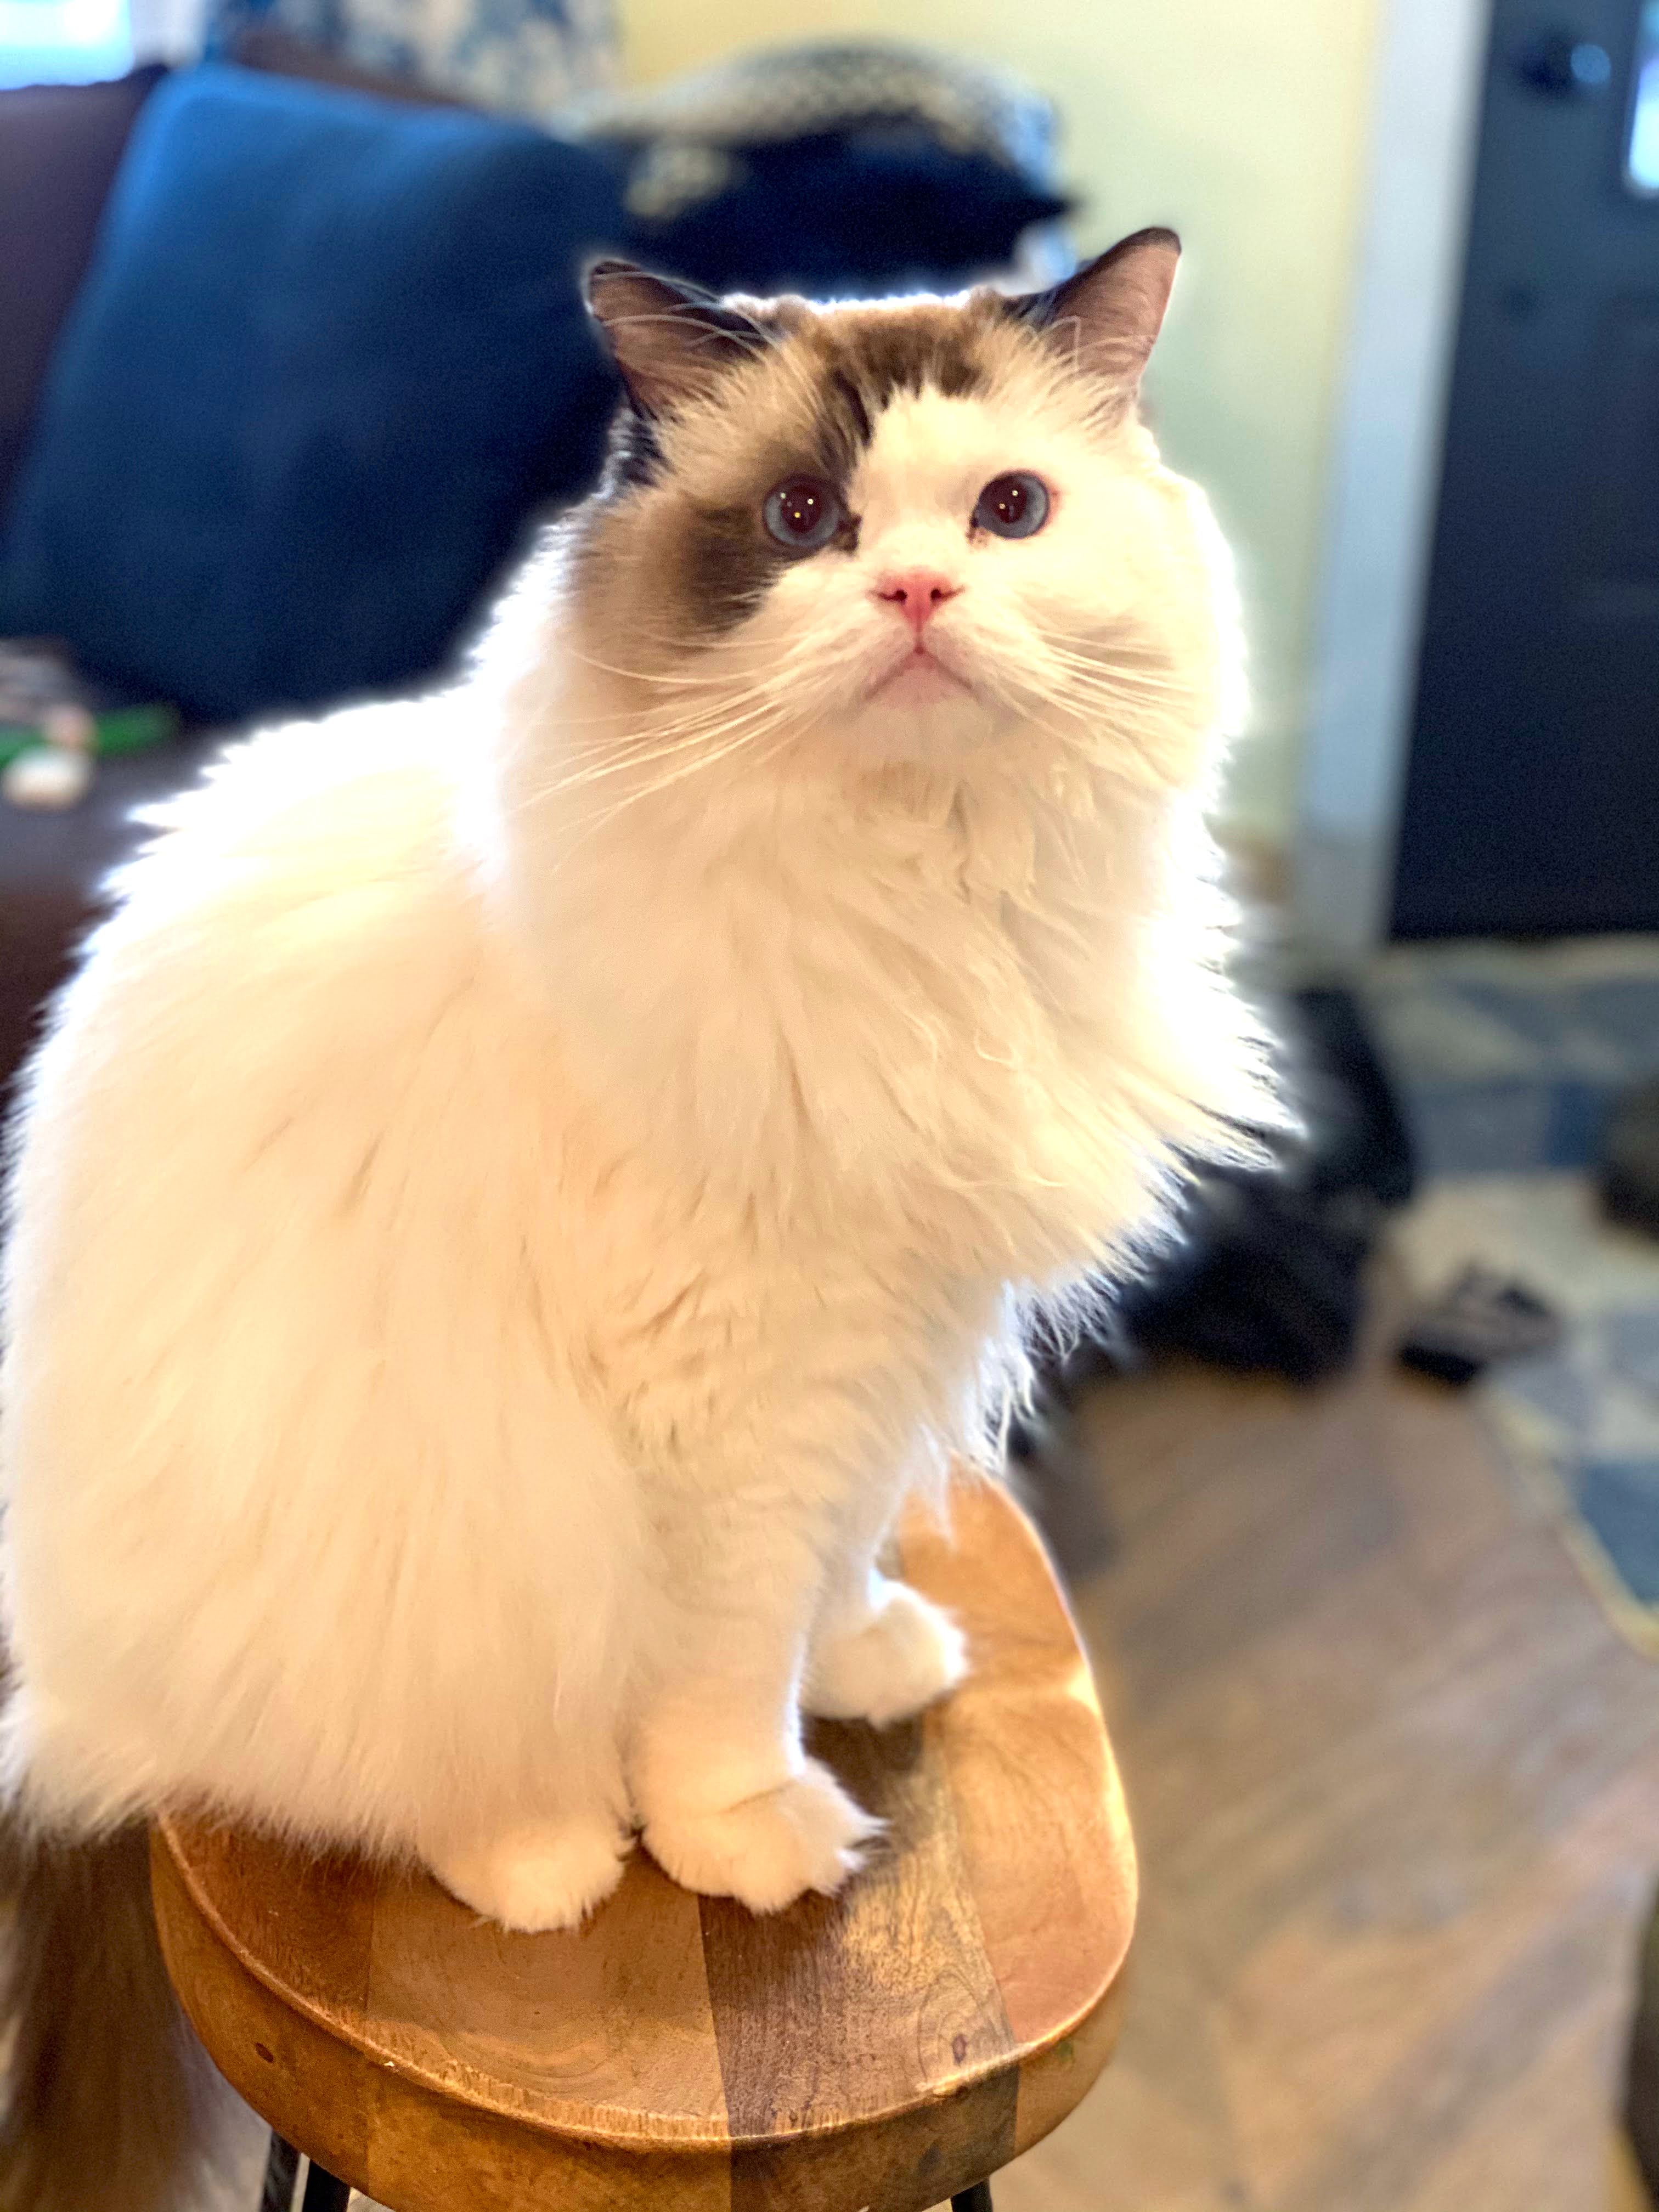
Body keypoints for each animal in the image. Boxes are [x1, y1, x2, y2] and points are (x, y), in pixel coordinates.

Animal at [0, 233, 1274, 2203]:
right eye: (806, 517)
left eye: (1008, 510)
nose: (916, 589)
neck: (917, 904)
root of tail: (56, 1702)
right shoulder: (728, 1410)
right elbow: (727, 1672)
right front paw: (748, 1830)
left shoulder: (879, 1349)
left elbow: (830, 1570)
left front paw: (869, 1656)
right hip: (452, 1542)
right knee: (372, 1778)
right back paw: (546, 1859)